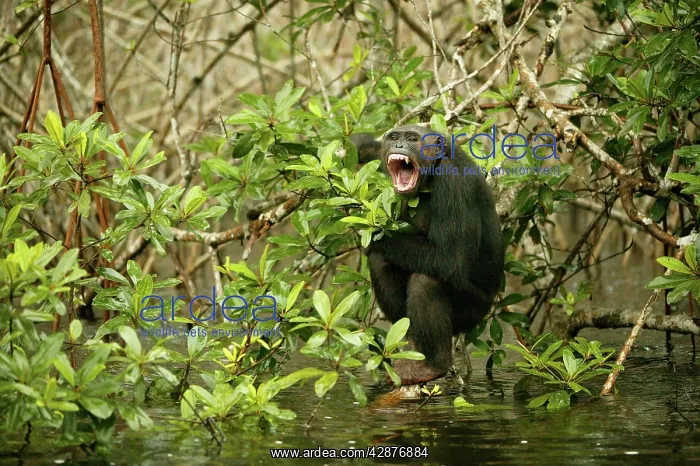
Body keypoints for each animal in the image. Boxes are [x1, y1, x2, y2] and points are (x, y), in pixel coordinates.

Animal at [350, 125, 504, 385]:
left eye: (412, 139)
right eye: (394, 137)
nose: (399, 145)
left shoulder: (453, 185)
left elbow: (448, 258)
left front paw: (377, 237)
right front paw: (360, 145)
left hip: (471, 312)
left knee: (426, 281)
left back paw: (433, 365)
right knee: (381, 263)